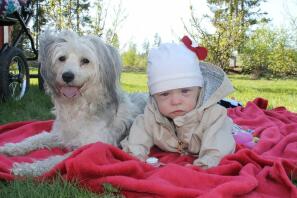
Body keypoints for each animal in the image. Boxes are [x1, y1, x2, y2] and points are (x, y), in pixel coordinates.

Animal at [0, 29, 147, 176]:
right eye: (62, 58)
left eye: (85, 61)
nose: (67, 76)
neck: (79, 107)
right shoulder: (59, 134)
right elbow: (35, 138)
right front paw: (12, 147)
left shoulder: (90, 146)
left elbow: (56, 160)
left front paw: (27, 168)